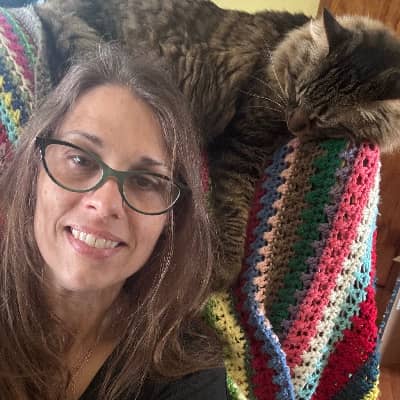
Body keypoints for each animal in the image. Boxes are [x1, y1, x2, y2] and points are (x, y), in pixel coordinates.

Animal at [34, 0, 400, 290]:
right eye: (296, 89)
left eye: (322, 119)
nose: (293, 123)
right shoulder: (243, 142)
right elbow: (235, 207)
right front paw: (224, 272)